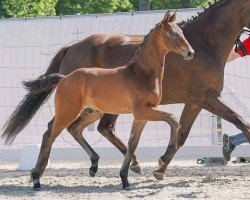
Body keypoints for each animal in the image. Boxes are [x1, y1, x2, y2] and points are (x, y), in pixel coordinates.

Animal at [21, 11, 193, 190]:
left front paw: (125, 179)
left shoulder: (142, 116)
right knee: (49, 135)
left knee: (74, 129)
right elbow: (172, 119)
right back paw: (36, 179)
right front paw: (163, 158)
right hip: (67, 112)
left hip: (93, 112)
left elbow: (133, 143)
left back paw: (91, 166)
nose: (190, 53)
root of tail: (64, 78)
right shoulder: (143, 111)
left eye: (181, 32)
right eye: (172, 33)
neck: (140, 74)